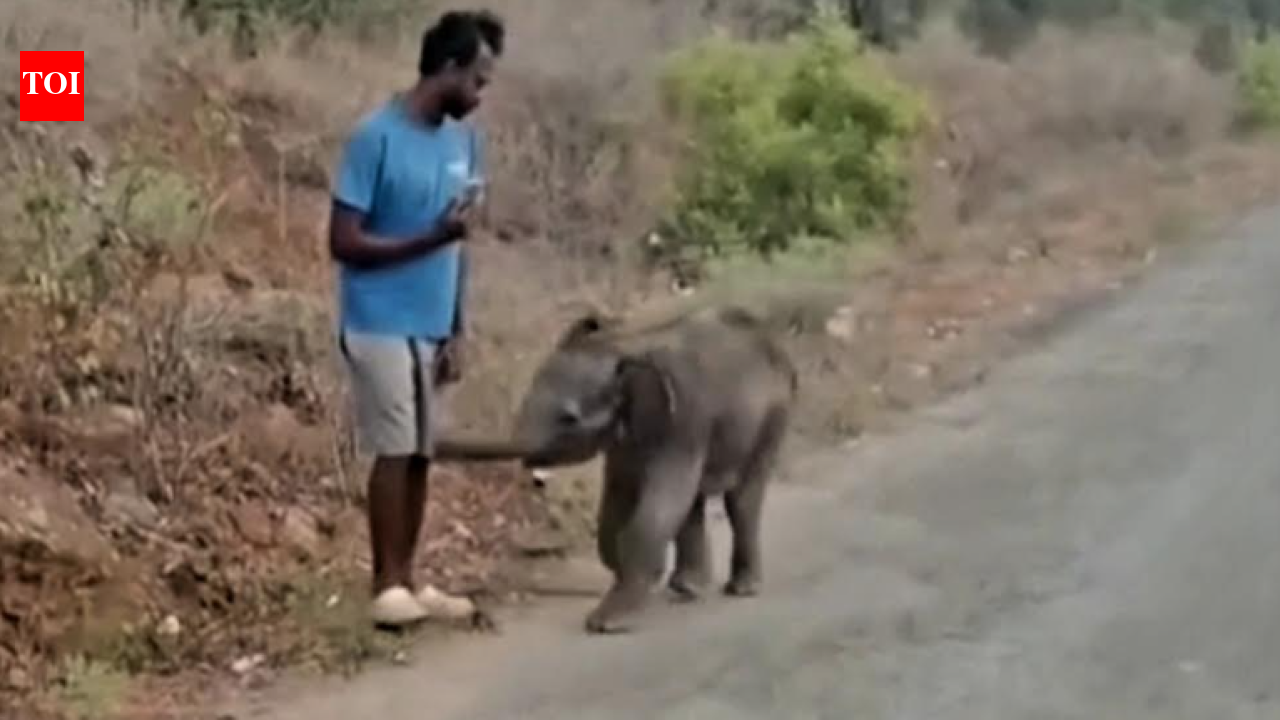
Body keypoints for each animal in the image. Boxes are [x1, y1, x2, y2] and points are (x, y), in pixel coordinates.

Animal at [436, 303, 799, 634]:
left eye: (569, 418)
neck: (626, 346)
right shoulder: (626, 441)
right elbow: (616, 503)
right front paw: (624, 573)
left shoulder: (684, 421)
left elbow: (659, 502)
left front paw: (605, 623)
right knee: (692, 503)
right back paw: (686, 588)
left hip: (772, 419)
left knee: (740, 500)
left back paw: (741, 589)